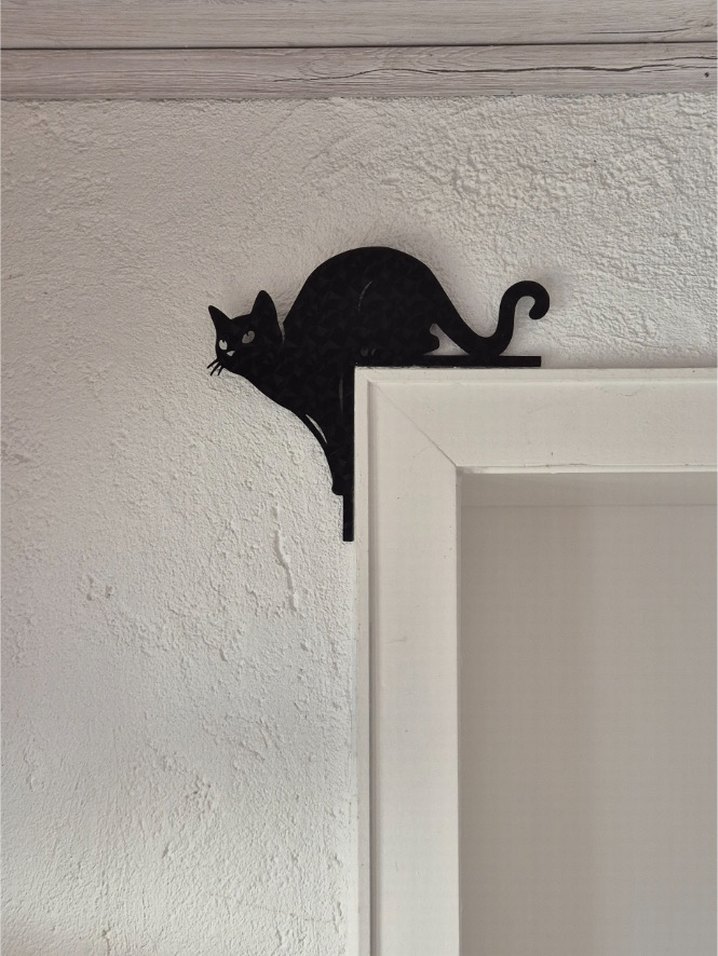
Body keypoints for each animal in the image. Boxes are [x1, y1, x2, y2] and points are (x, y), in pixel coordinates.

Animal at [207, 246, 549, 539]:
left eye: (249, 335)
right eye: (223, 340)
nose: (231, 351)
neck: (278, 370)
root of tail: (430, 279)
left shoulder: (331, 396)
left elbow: (339, 440)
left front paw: (345, 485)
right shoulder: (310, 413)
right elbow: (330, 447)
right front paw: (341, 485)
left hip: (378, 300)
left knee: (430, 341)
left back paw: (372, 350)